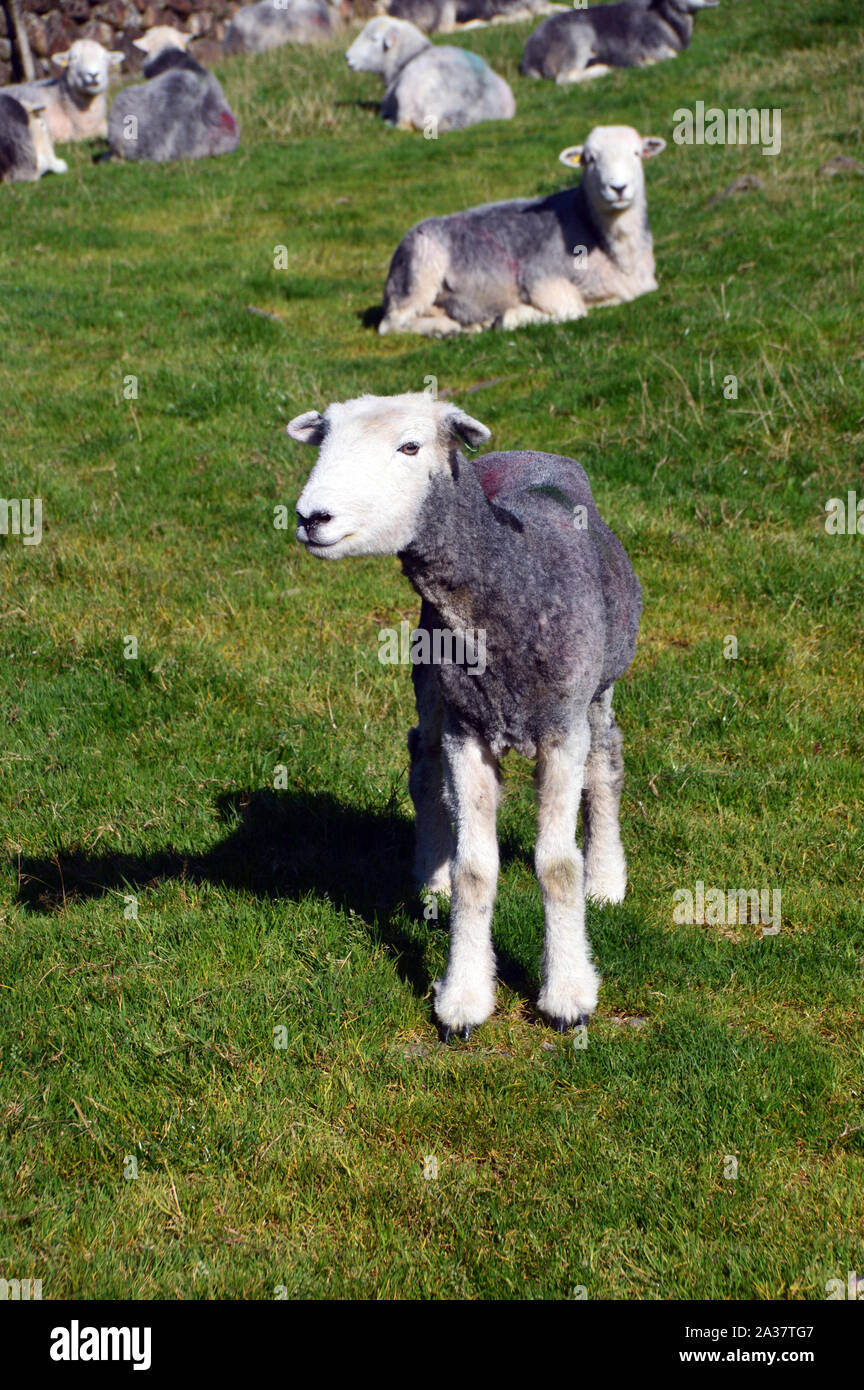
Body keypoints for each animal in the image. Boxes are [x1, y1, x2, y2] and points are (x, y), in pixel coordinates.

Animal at [291, 389, 644, 1034]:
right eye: (323, 441)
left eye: (410, 446)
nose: (311, 517)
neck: (512, 579)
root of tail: (531, 454)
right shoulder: (467, 730)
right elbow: (475, 869)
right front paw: (463, 997)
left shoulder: (562, 729)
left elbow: (557, 865)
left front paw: (569, 995)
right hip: (431, 675)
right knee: (424, 761)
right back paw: (430, 879)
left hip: (600, 687)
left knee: (607, 759)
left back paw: (606, 879)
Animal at [380, 124, 669, 336]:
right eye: (589, 159)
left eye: (636, 153)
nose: (618, 188)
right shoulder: (540, 275)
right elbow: (573, 310)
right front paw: (510, 317)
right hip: (419, 273)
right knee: (391, 324)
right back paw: (446, 329)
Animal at [522, 0, 716, 85]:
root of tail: (530, 56)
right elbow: (669, 57)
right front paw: (642, 64)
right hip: (576, 39)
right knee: (564, 78)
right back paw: (604, 69)